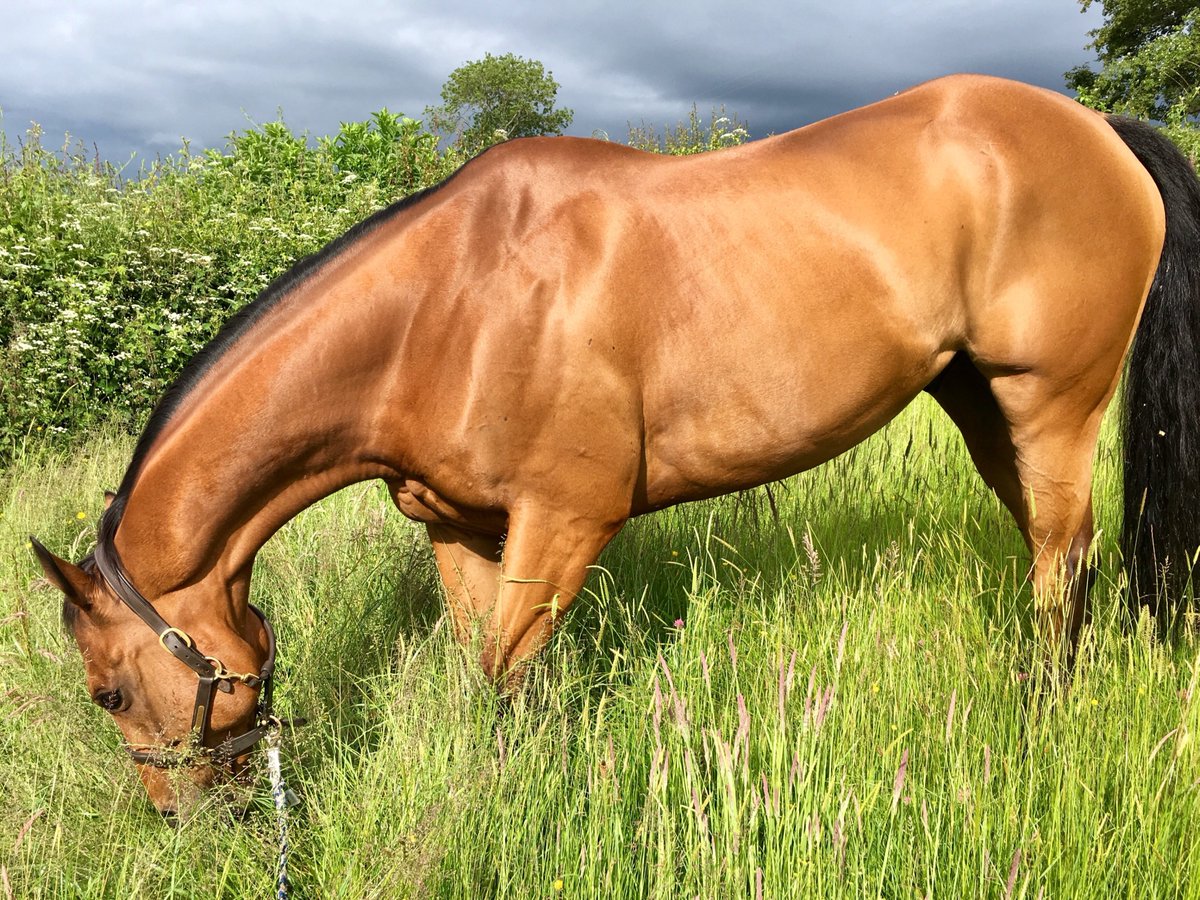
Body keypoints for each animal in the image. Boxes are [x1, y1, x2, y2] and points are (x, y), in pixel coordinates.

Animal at [31, 74, 1200, 817]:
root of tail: (1099, 127)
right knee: (1058, 554)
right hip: (980, 404)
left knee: (1063, 563)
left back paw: (1038, 719)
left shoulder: (565, 523)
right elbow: (497, 680)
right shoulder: (465, 532)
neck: (445, 308)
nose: (185, 822)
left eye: (107, 693)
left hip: (1051, 404)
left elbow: (499, 682)